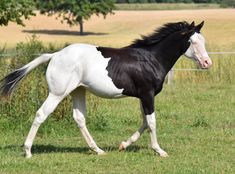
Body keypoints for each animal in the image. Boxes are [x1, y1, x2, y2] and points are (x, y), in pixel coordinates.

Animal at [0, 20, 212, 158]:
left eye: (203, 41)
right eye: (192, 42)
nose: (207, 63)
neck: (150, 59)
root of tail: (54, 55)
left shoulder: (142, 97)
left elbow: (144, 122)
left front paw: (123, 145)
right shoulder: (147, 95)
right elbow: (151, 122)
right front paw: (159, 151)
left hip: (78, 91)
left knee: (79, 118)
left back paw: (97, 150)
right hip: (57, 93)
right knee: (40, 115)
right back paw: (28, 151)